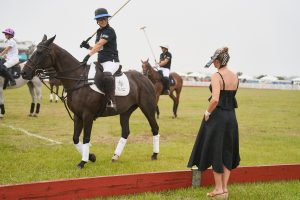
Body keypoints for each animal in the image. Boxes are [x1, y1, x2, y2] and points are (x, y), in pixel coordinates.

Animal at [21, 35, 159, 169]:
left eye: (39, 52)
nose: (24, 72)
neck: (77, 79)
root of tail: (146, 78)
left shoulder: (88, 115)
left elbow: (86, 138)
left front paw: (83, 162)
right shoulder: (77, 115)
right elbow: (75, 138)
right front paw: (91, 157)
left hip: (147, 108)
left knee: (155, 128)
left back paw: (154, 154)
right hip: (126, 111)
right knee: (125, 132)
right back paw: (115, 156)